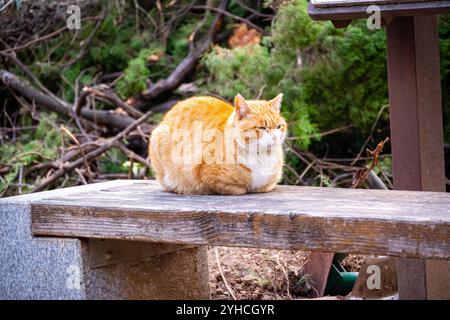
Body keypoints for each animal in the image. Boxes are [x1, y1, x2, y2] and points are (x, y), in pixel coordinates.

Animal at [149, 92, 286, 195]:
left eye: (279, 126)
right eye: (262, 128)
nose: (275, 137)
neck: (262, 156)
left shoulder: (269, 184)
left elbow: (266, 186)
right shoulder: (207, 174)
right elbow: (239, 189)